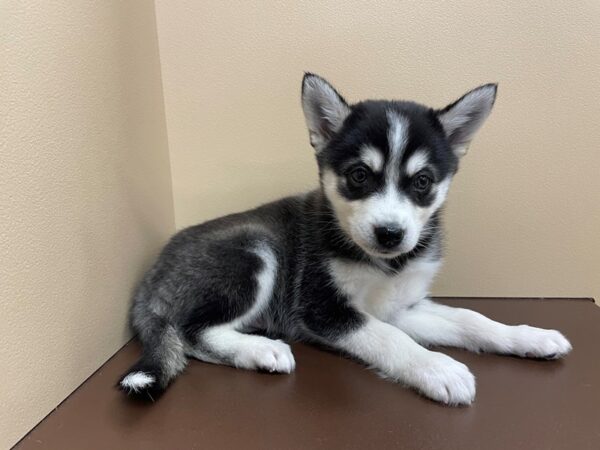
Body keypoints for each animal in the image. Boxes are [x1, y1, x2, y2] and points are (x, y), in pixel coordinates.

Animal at [118, 74, 572, 404]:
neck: (386, 265)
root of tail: (151, 277)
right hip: (254, 252)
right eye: (359, 175)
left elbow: (470, 320)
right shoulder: (323, 310)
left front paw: (528, 337)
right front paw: (438, 369)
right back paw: (260, 350)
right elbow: (390, 339)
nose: (390, 234)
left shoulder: (401, 307)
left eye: (423, 181)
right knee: (191, 332)